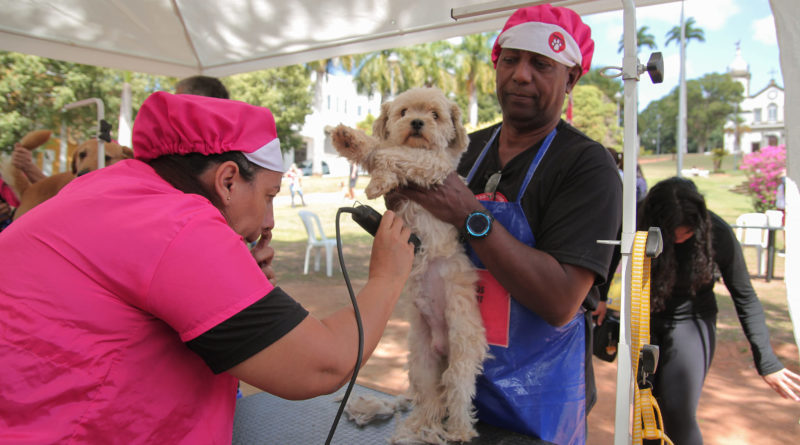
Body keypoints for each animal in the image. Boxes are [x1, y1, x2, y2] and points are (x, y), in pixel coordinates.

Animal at [330, 86, 488, 444]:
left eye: (435, 115)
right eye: (403, 113)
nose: (417, 122)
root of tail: (442, 345)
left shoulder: (433, 165)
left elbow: (394, 154)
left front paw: (377, 179)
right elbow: (378, 148)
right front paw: (349, 140)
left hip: (462, 344)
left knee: (458, 392)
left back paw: (459, 430)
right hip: (421, 359)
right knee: (430, 399)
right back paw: (418, 427)